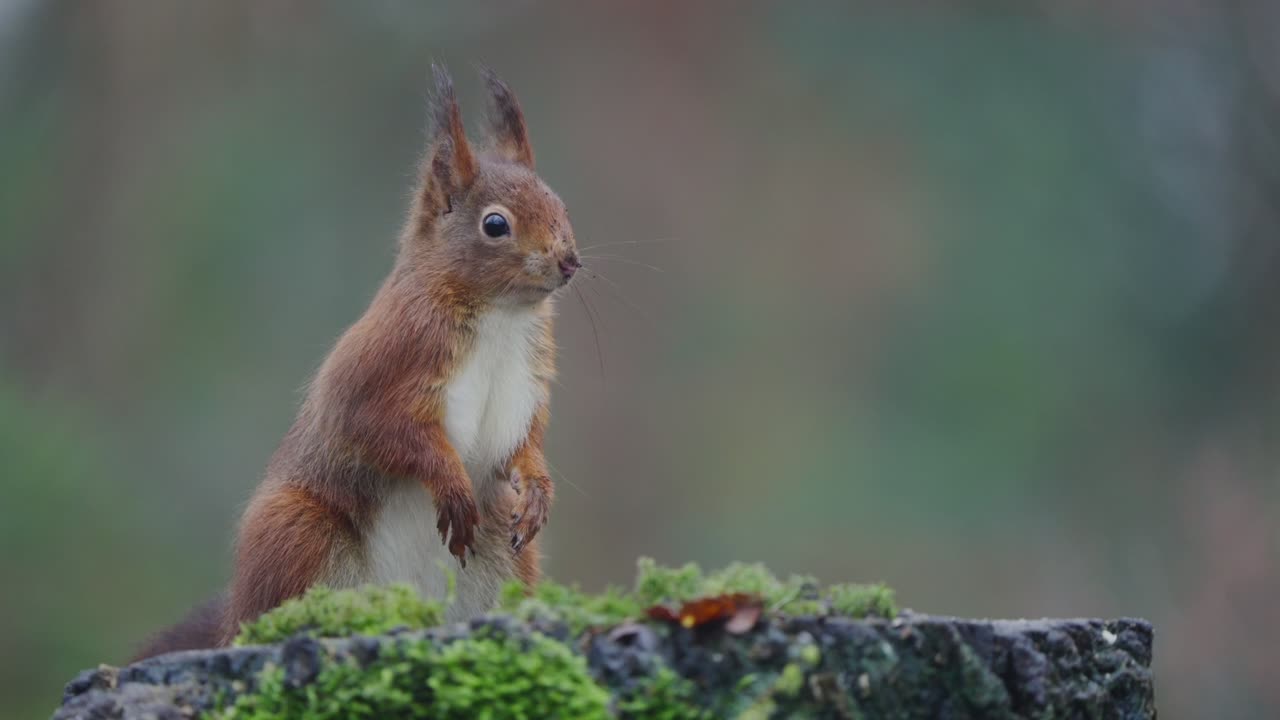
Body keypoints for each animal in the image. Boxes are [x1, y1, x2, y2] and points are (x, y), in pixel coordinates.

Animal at [134, 66, 578, 660]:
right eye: (495, 225)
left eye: (560, 204)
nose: (570, 261)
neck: (500, 318)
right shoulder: (386, 361)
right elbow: (380, 429)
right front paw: (451, 483)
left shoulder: (527, 382)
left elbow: (524, 444)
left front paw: (537, 491)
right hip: (296, 530)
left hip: (506, 558)